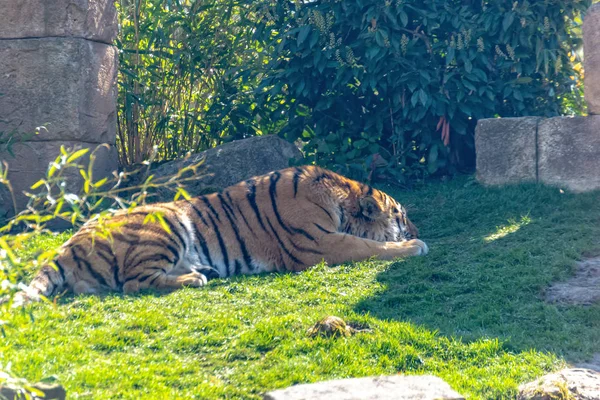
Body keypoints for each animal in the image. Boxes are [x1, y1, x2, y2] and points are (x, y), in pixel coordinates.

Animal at [14, 166, 426, 304]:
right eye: (402, 216)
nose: (418, 229)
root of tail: (66, 247)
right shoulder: (319, 244)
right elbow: (368, 245)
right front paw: (413, 245)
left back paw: (203, 272)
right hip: (167, 221)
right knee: (132, 283)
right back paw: (195, 278)